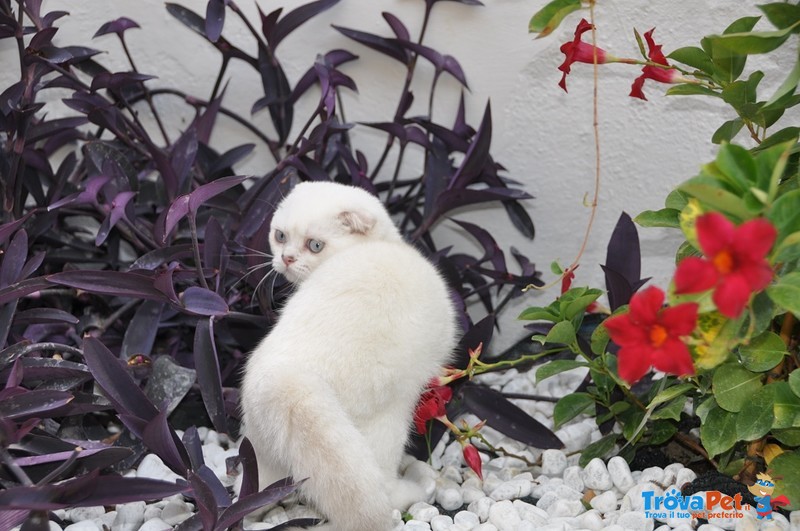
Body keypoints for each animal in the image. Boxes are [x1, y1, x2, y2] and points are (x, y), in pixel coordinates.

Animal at [241, 181, 460, 528]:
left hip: (261, 451)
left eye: (315, 245)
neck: (385, 244)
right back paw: (411, 491)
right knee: (381, 484)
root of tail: (285, 378)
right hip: (389, 419)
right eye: (280, 236)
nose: (286, 258)